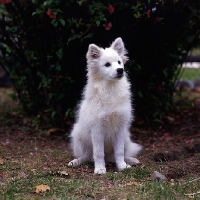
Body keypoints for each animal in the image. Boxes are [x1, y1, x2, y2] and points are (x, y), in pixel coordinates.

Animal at [68, 37, 141, 173]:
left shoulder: (120, 129)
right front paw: (100, 169)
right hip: (78, 136)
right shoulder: (97, 129)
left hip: (126, 137)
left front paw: (122, 166)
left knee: (115, 156)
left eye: (119, 62)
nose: (120, 70)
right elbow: (98, 153)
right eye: (107, 64)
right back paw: (76, 162)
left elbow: (119, 152)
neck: (110, 88)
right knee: (86, 156)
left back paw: (131, 160)